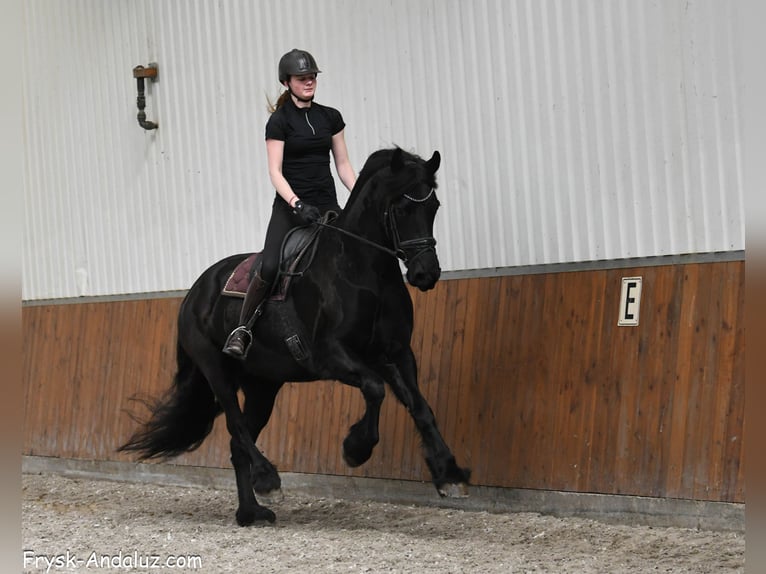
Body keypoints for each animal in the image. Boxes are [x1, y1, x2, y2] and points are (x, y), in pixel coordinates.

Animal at [119, 147, 470, 526]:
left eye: (433, 206)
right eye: (403, 208)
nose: (425, 274)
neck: (363, 271)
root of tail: (195, 291)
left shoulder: (395, 353)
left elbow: (420, 407)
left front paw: (449, 474)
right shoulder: (330, 356)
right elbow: (375, 389)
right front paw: (356, 448)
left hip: (262, 386)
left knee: (238, 443)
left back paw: (251, 512)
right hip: (217, 371)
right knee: (237, 426)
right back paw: (267, 480)